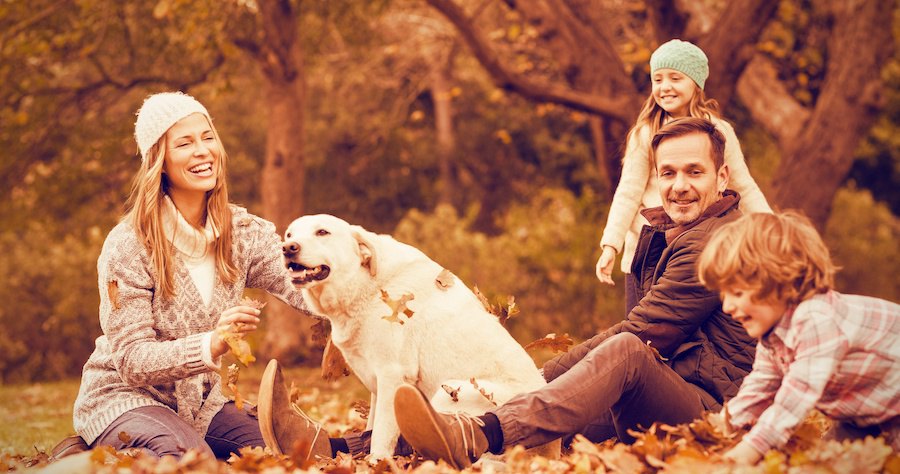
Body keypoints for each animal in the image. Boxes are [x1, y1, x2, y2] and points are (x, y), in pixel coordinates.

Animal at [282, 215, 544, 460]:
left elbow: (381, 434)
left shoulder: (393, 376)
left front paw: (377, 462)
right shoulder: (377, 383)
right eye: (289, 234)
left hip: (453, 391)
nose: (288, 248)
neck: (367, 286)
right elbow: (371, 426)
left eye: (322, 232)